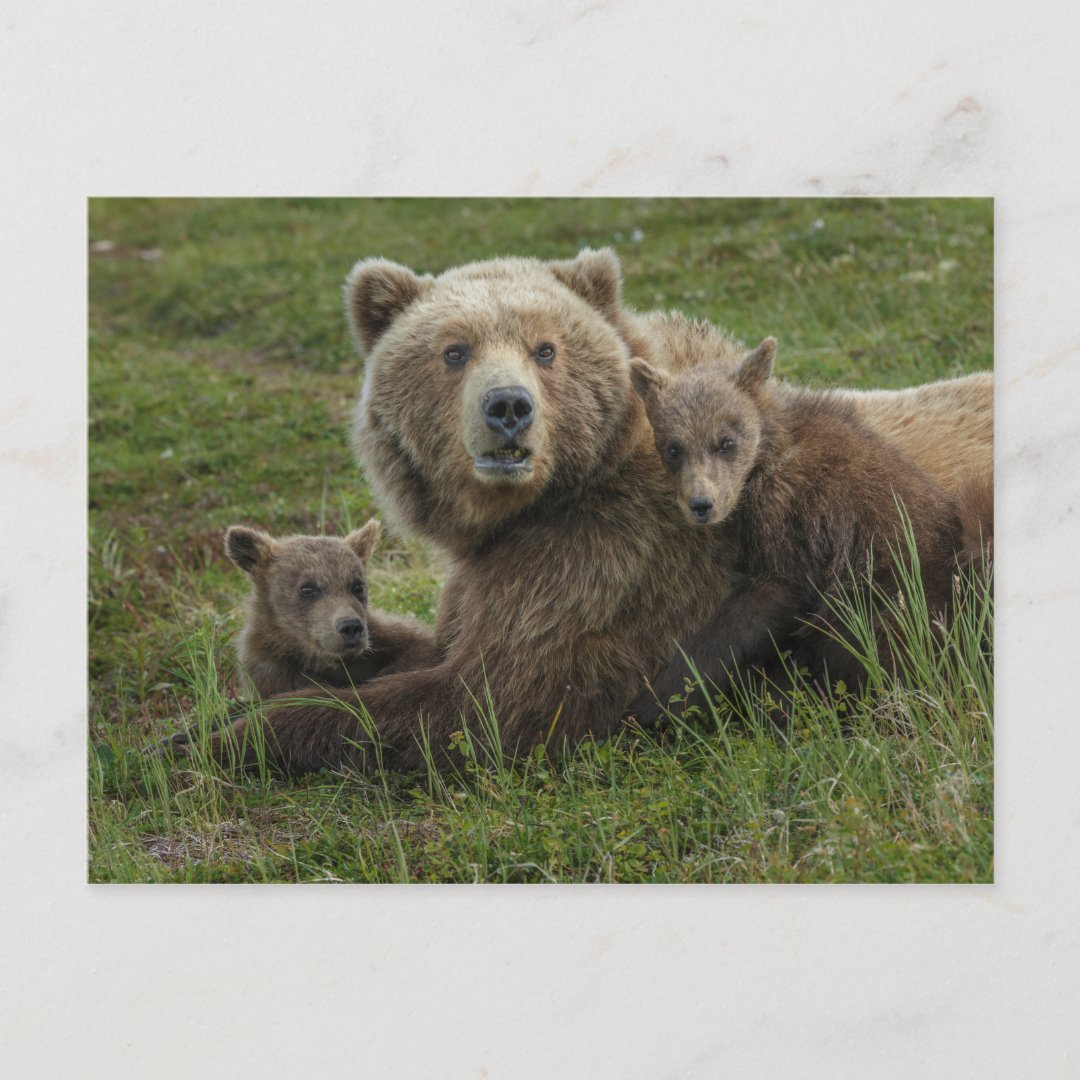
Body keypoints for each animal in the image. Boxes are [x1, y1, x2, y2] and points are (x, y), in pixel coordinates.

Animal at [625, 337, 972, 722]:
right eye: (673, 448)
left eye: (726, 441)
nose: (702, 504)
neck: (764, 462)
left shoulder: (799, 524)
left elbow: (758, 607)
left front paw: (651, 704)